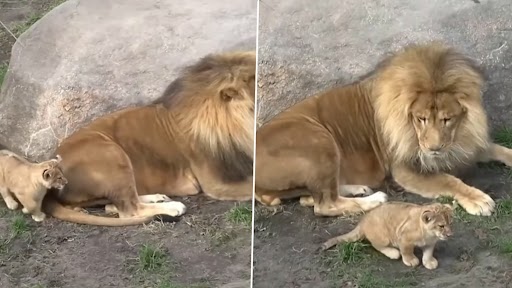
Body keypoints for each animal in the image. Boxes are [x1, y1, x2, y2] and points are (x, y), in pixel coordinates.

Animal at [42, 50, 256, 226]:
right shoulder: (217, 183)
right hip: (111, 152)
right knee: (128, 210)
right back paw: (172, 207)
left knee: (114, 205)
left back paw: (156, 197)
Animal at [256, 42, 512, 217]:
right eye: (421, 119)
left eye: (447, 119)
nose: (434, 148)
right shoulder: (405, 168)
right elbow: (448, 180)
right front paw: (478, 199)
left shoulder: (466, 143)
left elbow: (500, 149)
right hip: (319, 139)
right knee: (324, 205)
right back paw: (375, 199)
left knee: (312, 197)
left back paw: (357, 188)